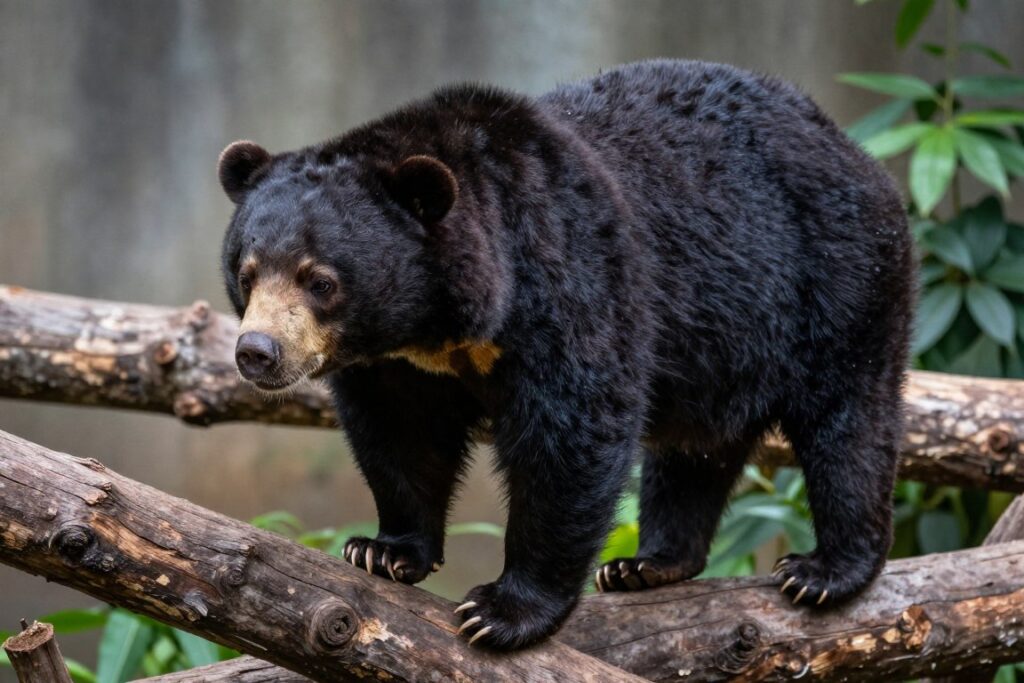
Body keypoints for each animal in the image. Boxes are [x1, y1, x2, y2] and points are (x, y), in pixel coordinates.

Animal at [217, 59, 915, 651]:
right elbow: (401, 436)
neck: (443, 325)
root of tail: (849, 146)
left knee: (848, 424)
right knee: (696, 448)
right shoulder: (395, 365)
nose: (258, 352)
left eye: (320, 280)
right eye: (247, 273)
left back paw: (825, 569)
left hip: (838, 277)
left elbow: (572, 435)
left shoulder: (571, 278)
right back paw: (649, 563)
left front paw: (501, 611)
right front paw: (382, 550)